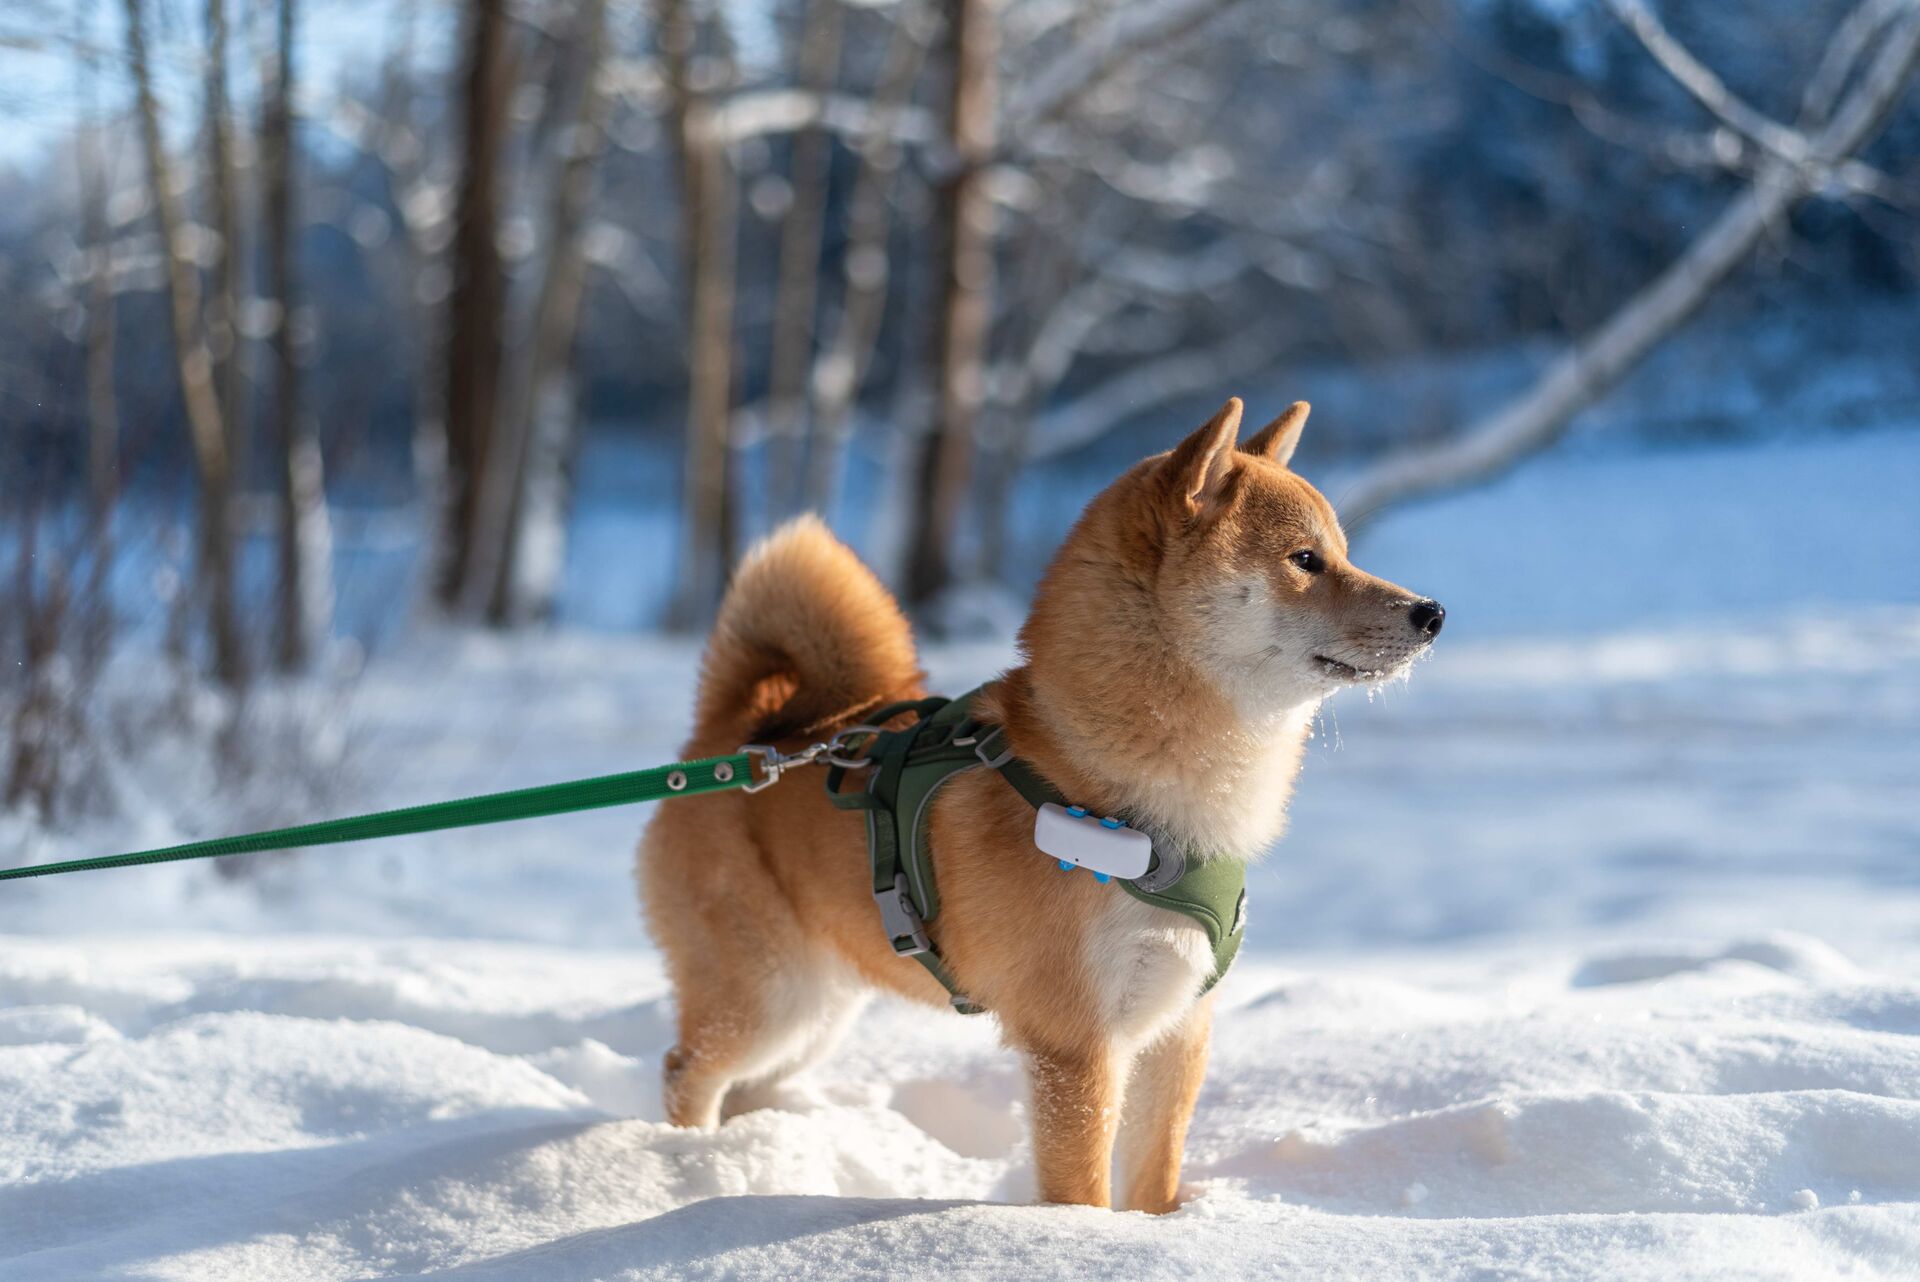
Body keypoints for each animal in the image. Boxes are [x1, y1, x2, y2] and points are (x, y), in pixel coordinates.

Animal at [633, 397, 1443, 1212]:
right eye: (1305, 560)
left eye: (1342, 553)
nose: (1431, 612)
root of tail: (743, 737)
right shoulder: (1076, 1042)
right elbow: (1082, 1186)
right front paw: (1077, 1235)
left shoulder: (1177, 1024)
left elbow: (1155, 1171)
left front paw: (1162, 1227)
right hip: (771, 997)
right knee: (685, 1070)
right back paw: (683, 1170)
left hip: (820, 1010)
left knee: (742, 1084)